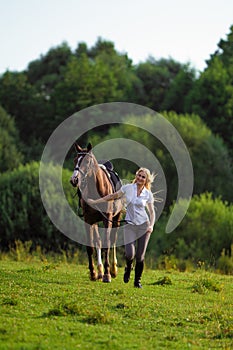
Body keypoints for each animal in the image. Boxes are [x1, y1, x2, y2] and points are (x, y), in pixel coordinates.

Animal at [70, 142, 123, 282]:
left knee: (113, 240)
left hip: (116, 218)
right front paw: (93, 273)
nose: (74, 179)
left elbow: (107, 244)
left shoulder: (107, 219)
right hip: (95, 222)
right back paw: (99, 270)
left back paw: (113, 269)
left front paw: (107, 274)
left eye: (87, 161)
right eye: (75, 160)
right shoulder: (88, 220)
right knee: (97, 241)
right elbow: (91, 246)